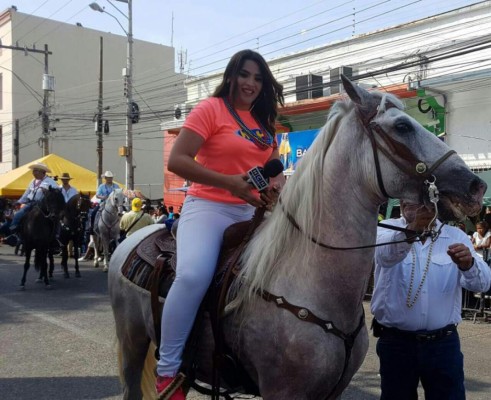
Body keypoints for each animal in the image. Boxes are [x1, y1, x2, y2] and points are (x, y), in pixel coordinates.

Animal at [106, 77, 484, 400]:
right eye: (402, 127)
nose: (476, 185)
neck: (310, 279)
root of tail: (132, 240)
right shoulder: (283, 391)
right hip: (132, 342)